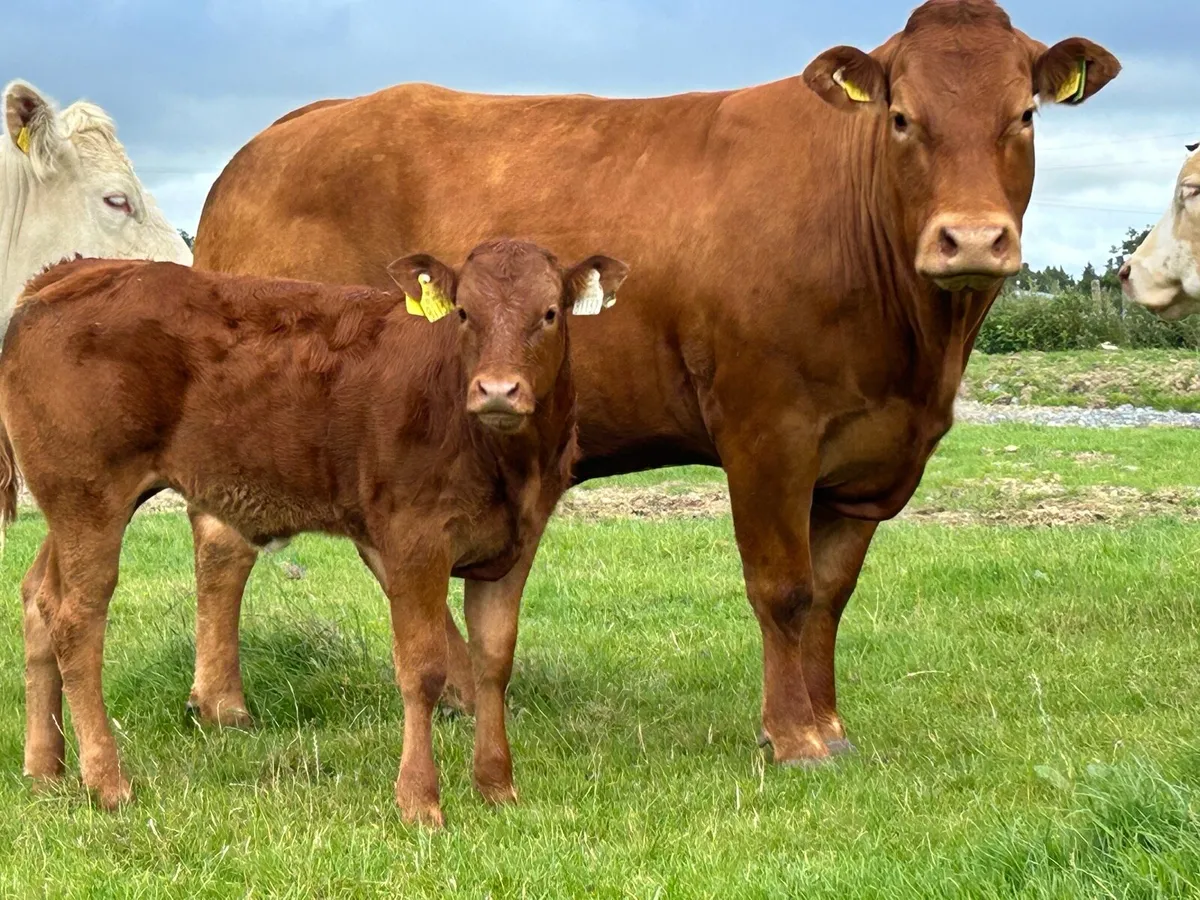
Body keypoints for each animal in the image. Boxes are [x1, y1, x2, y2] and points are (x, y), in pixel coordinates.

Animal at [0, 240, 629, 826]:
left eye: (550, 313)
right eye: (464, 313)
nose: (497, 390)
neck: (507, 465)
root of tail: (76, 271)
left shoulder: (516, 544)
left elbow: (493, 662)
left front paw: (497, 787)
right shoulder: (414, 538)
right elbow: (423, 668)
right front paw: (420, 802)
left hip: (75, 504)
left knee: (38, 597)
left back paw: (46, 768)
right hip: (89, 495)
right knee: (77, 619)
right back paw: (107, 783)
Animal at [187, 0, 1120, 766]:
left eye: (1024, 114)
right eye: (900, 117)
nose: (973, 239)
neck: (918, 346)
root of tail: (279, 135)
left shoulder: (869, 460)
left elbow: (831, 597)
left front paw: (830, 724)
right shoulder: (767, 430)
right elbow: (783, 589)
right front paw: (792, 737)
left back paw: (453, 691)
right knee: (225, 541)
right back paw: (224, 704)